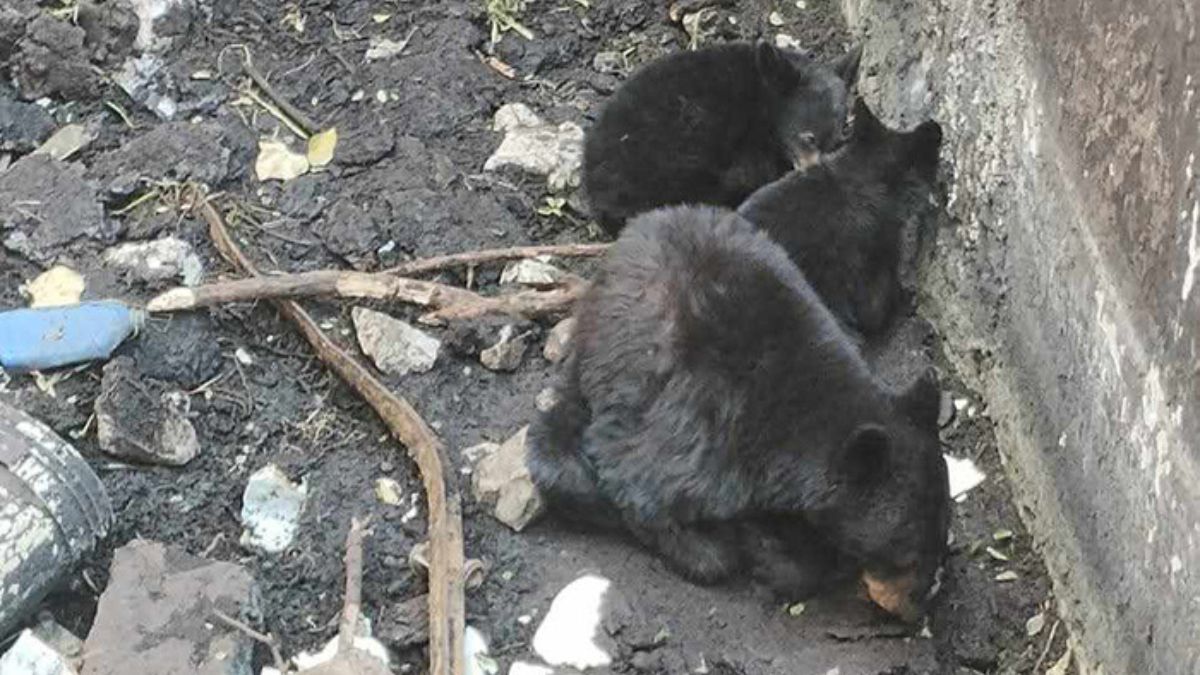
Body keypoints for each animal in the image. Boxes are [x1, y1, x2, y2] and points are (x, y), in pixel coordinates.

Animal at [530, 206, 950, 619]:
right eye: (905, 551)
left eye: (941, 535)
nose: (921, 604)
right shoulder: (697, 429)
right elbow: (640, 490)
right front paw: (735, 545)